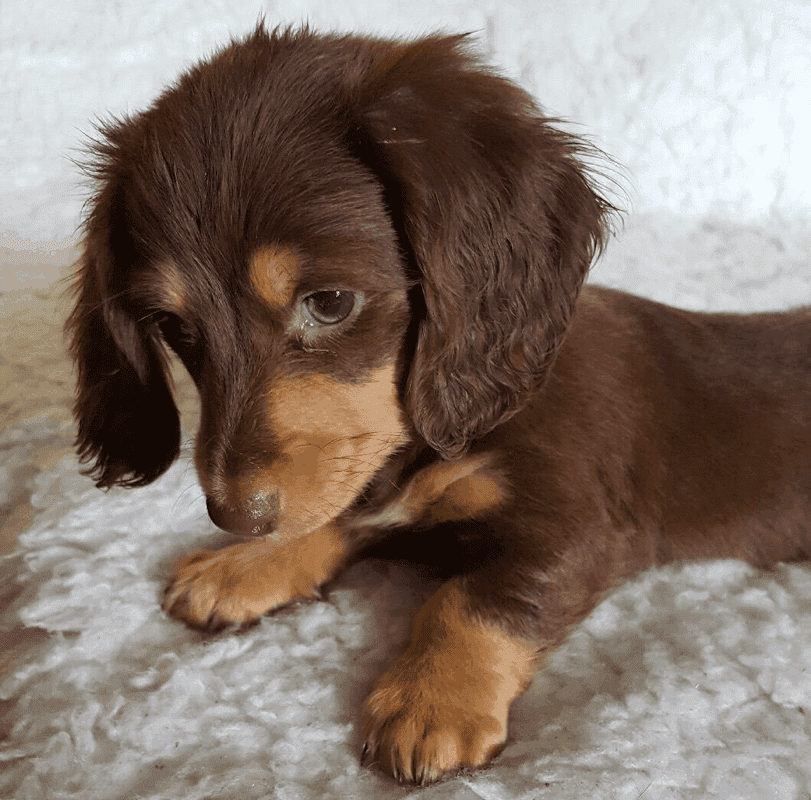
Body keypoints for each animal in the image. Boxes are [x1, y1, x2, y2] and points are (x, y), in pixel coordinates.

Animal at [65, 25, 811, 788]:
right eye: (175, 327)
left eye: (329, 302)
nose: (236, 518)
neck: (440, 428)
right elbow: (341, 513)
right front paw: (244, 566)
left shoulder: (581, 527)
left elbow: (471, 599)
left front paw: (431, 700)